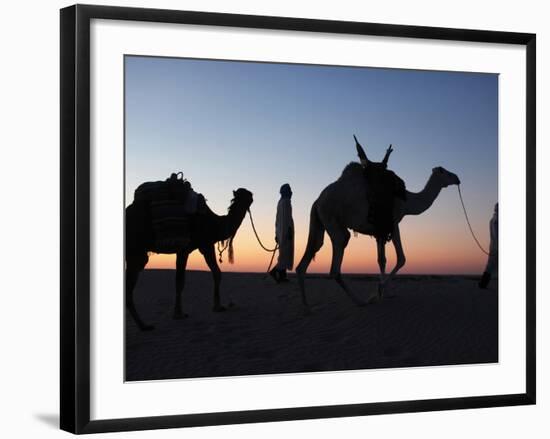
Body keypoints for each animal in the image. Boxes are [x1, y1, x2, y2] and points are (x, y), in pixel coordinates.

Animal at [125, 188, 254, 330]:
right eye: (246, 195)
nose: (251, 196)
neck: (214, 224)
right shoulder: (196, 246)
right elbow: (182, 280)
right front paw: (179, 313)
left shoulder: (201, 246)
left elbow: (215, 273)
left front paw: (217, 306)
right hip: (135, 250)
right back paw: (144, 325)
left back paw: (142, 325)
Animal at [298, 162, 462, 310]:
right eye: (446, 172)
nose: (457, 178)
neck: (406, 201)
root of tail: (317, 201)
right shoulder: (393, 223)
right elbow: (401, 258)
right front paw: (379, 289)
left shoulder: (379, 231)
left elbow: (381, 260)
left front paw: (384, 293)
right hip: (333, 219)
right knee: (336, 262)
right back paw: (361, 301)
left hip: (320, 221)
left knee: (312, 251)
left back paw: (307, 306)